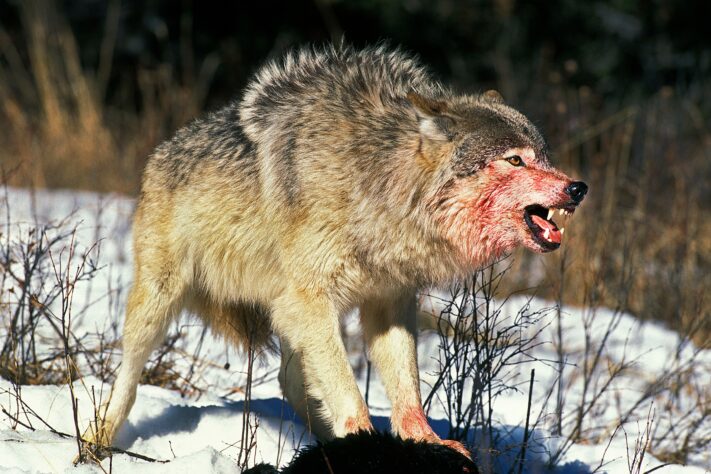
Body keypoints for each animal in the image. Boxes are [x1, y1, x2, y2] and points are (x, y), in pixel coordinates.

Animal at [84, 45, 587, 457]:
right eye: (514, 160)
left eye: (543, 156)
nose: (578, 188)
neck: (377, 183)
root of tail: (160, 152)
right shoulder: (312, 301)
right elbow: (349, 389)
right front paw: (364, 435)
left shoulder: (388, 301)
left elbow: (406, 389)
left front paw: (421, 439)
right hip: (163, 301)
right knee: (128, 374)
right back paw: (97, 439)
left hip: (284, 315)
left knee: (290, 383)